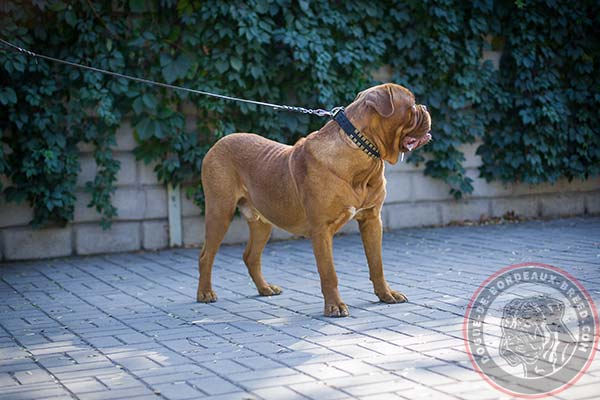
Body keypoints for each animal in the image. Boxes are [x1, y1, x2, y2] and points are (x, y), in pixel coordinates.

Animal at [197, 83, 432, 316]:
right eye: (412, 106)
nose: (425, 107)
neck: (362, 151)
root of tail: (219, 141)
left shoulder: (372, 220)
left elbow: (377, 264)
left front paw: (386, 294)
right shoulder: (321, 229)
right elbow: (328, 272)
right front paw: (334, 306)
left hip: (262, 221)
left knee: (250, 256)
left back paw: (265, 288)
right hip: (220, 211)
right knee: (206, 255)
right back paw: (205, 293)